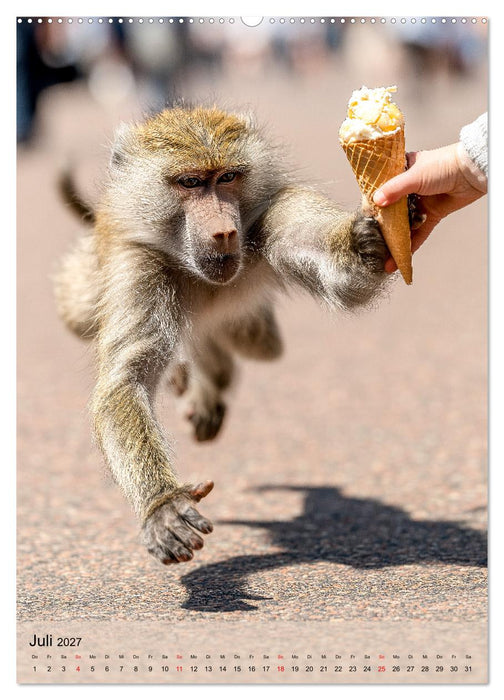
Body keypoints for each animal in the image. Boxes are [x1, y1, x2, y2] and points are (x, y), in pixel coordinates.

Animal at [54, 105, 390, 566]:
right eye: (190, 183)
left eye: (228, 178)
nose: (225, 232)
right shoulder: (138, 263)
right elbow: (126, 380)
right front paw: (163, 506)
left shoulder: (276, 210)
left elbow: (347, 280)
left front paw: (370, 239)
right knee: (78, 313)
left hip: (248, 325)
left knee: (257, 341)